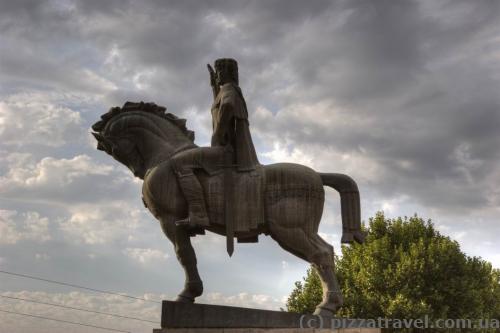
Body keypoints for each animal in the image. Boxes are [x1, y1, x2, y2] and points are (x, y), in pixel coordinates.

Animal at [91, 100, 364, 314]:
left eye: (111, 148)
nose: (138, 171)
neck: (166, 155)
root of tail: (317, 175)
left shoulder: (169, 220)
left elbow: (185, 255)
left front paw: (187, 294)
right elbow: (187, 255)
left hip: (290, 229)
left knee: (321, 255)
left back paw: (326, 307)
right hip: (295, 232)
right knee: (323, 255)